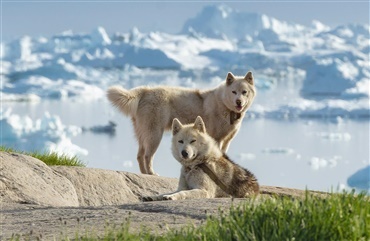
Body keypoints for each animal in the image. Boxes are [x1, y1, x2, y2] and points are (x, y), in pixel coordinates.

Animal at [107, 71, 256, 175]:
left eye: (244, 92)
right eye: (234, 92)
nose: (239, 102)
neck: (225, 105)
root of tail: (145, 91)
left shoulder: (226, 141)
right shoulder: (217, 139)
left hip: (143, 134)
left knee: (139, 156)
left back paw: (145, 174)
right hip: (154, 134)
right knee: (147, 156)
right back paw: (152, 173)